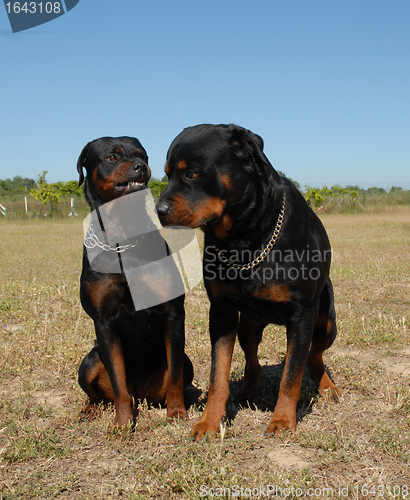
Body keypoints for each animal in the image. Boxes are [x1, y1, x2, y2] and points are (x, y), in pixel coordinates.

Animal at [77, 136, 193, 426]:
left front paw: (177, 411)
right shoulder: (103, 322)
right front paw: (122, 422)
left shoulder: (173, 313)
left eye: (143, 155)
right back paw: (90, 408)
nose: (141, 166)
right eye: (112, 156)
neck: (123, 236)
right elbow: (118, 381)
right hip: (89, 361)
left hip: (185, 364)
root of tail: (140, 394)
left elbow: (175, 373)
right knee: (99, 391)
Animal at [155, 125, 342, 442]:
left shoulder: (302, 313)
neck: (245, 238)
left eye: (191, 174)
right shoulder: (221, 311)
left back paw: (327, 387)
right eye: (167, 175)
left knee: (313, 355)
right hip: (249, 325)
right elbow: (218, 374)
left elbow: (291, 375)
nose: (159, 210)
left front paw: (283, 420)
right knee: (253, 359)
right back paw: (247, 391)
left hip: (326, 321)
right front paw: (209, 421)